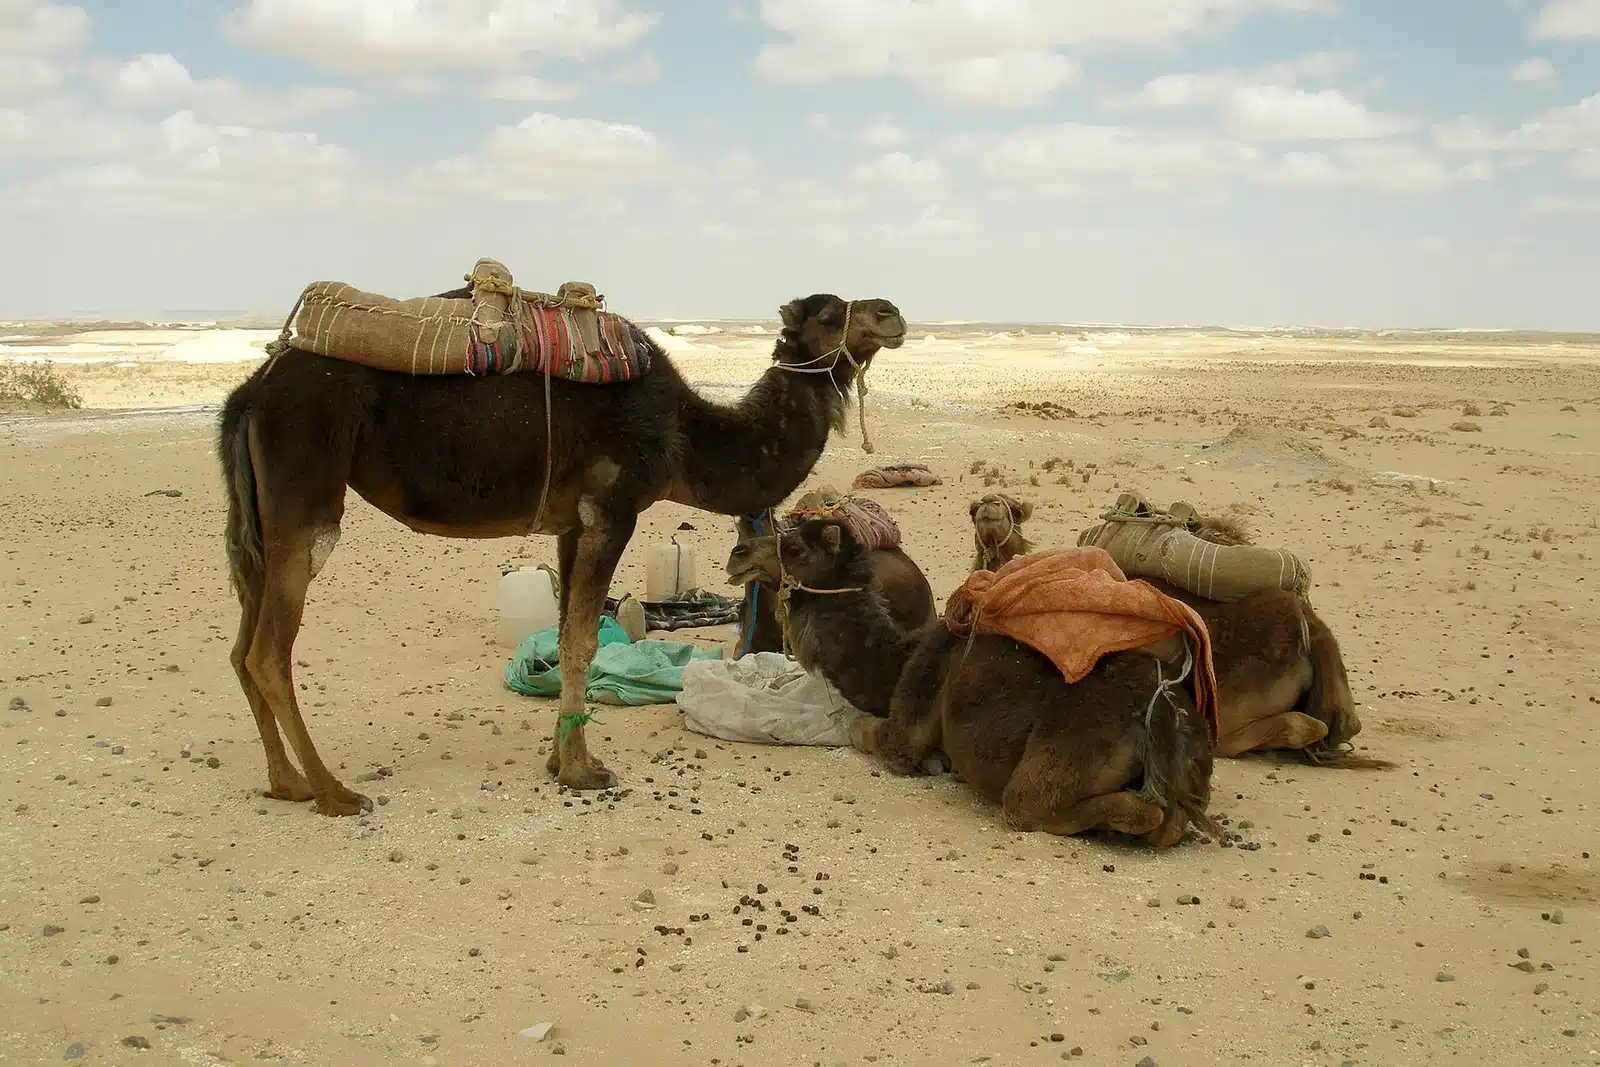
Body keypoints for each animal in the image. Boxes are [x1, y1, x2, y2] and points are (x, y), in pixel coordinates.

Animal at [218, 292, 906, 815]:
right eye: (830, 313)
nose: (891, 312)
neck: (684, 436)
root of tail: (250, 393)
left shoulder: (571, 525)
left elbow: (569, 631)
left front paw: (559, 759)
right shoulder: (611, 511)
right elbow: (581, 639)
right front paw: (582, 768)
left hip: (259, 520)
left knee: (241, 648)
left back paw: (285, 782)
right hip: (305, 497)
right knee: (269, 652)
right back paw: (332, 791)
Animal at [969, 501, 1366, 763]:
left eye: (1012, 509)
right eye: (974, 509)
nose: (989, 506)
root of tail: (1309, 629)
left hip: (1235, 695)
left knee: (1265, 732)